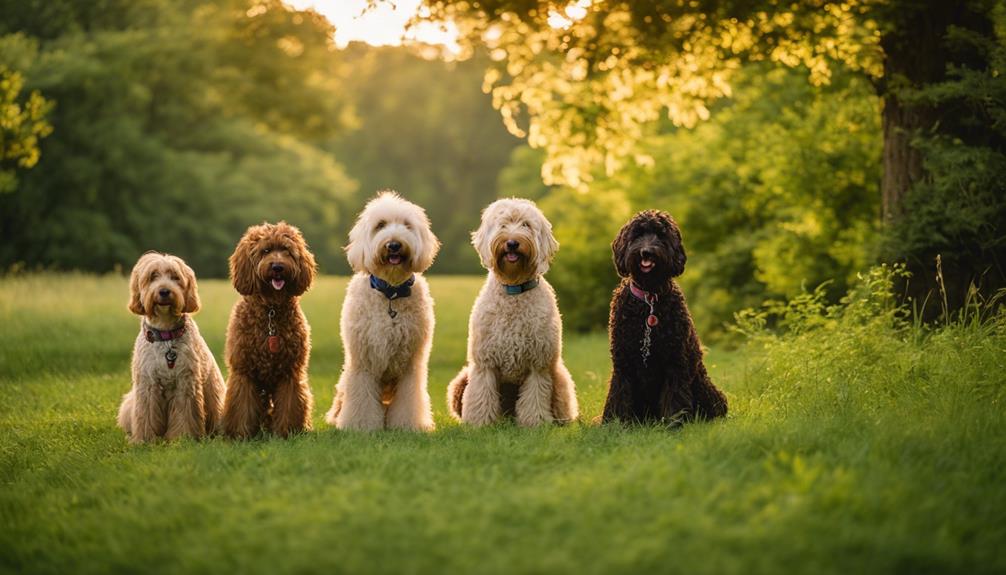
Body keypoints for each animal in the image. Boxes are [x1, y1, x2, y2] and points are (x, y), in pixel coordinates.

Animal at [116, 251, 226, 444]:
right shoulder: (147, 385)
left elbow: (185, 415)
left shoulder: (186, 383)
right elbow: (145, 414)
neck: (165, 334)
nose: (164, 291)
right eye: (153, 276)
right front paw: (143, 440)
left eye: (176, 277)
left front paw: (183, 438)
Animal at [222, 222, 315, 438]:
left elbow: (290, 404)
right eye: (265, 251)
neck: (271, 309)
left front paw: (285, 434)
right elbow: (242, 405)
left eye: (287, 250)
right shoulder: (244, 373)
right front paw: (241, 435)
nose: (277, 267)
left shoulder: (290, 373)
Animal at [325, 193, 440, 430]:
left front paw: (408, 426)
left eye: (407, 225)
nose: (394, 245)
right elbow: (361, 398)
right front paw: (360, 426)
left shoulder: (411, 365)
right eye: (380, 225)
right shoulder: (362, 361)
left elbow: (409, 400)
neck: (391, 294)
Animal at [450, 198, 583, 426]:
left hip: (559, 375)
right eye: (502, 224)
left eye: (526, 225)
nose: (512, 242)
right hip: (461, 380)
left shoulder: (538, 363)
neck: (514, 290)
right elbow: (481, 394)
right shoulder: (484, 362)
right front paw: (480, 423)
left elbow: (535, 396)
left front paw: (535, 423)